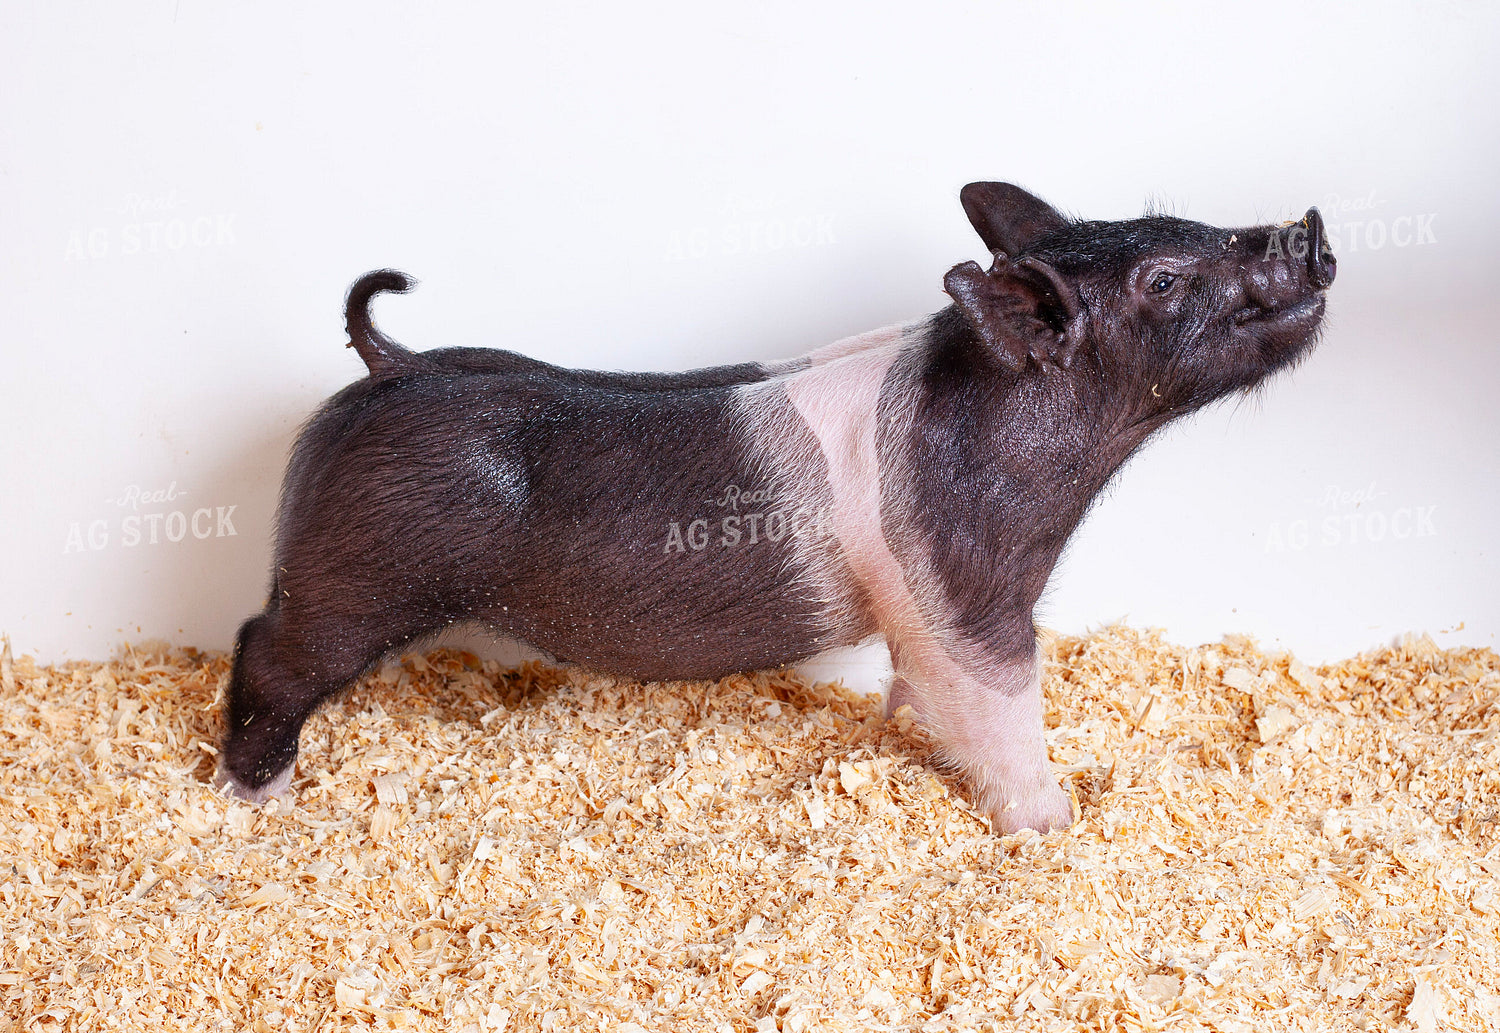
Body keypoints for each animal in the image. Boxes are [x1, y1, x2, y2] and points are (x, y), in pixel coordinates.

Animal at [220, 182, 1335, 833]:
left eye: (1184, 222)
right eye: (1165, 279)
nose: (1307, 227)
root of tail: (393, 366)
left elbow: (918, 690)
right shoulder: (966, 593)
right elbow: (1002, 704)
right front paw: (1054, 823)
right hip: (350, 570)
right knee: (264, 647)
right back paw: (257, 794)